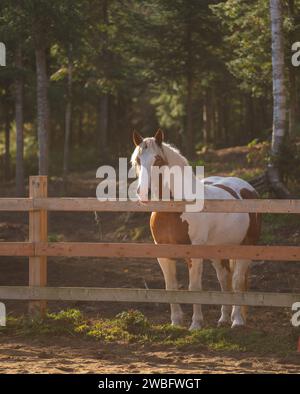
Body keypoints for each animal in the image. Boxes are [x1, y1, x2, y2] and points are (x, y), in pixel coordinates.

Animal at [131, 130, 260, 330]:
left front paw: (196, 324)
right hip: (217, 252)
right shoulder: (163, 253)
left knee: (238, 281)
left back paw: (237, 320)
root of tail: (248, 189)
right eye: (137, 160)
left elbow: (194, 287)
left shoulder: (194, 254)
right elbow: (171, 286)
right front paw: (176, 322)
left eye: (158, 160)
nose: (144, 193)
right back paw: (224, 318)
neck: (175, 209)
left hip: (246, 247)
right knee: (224, 278)